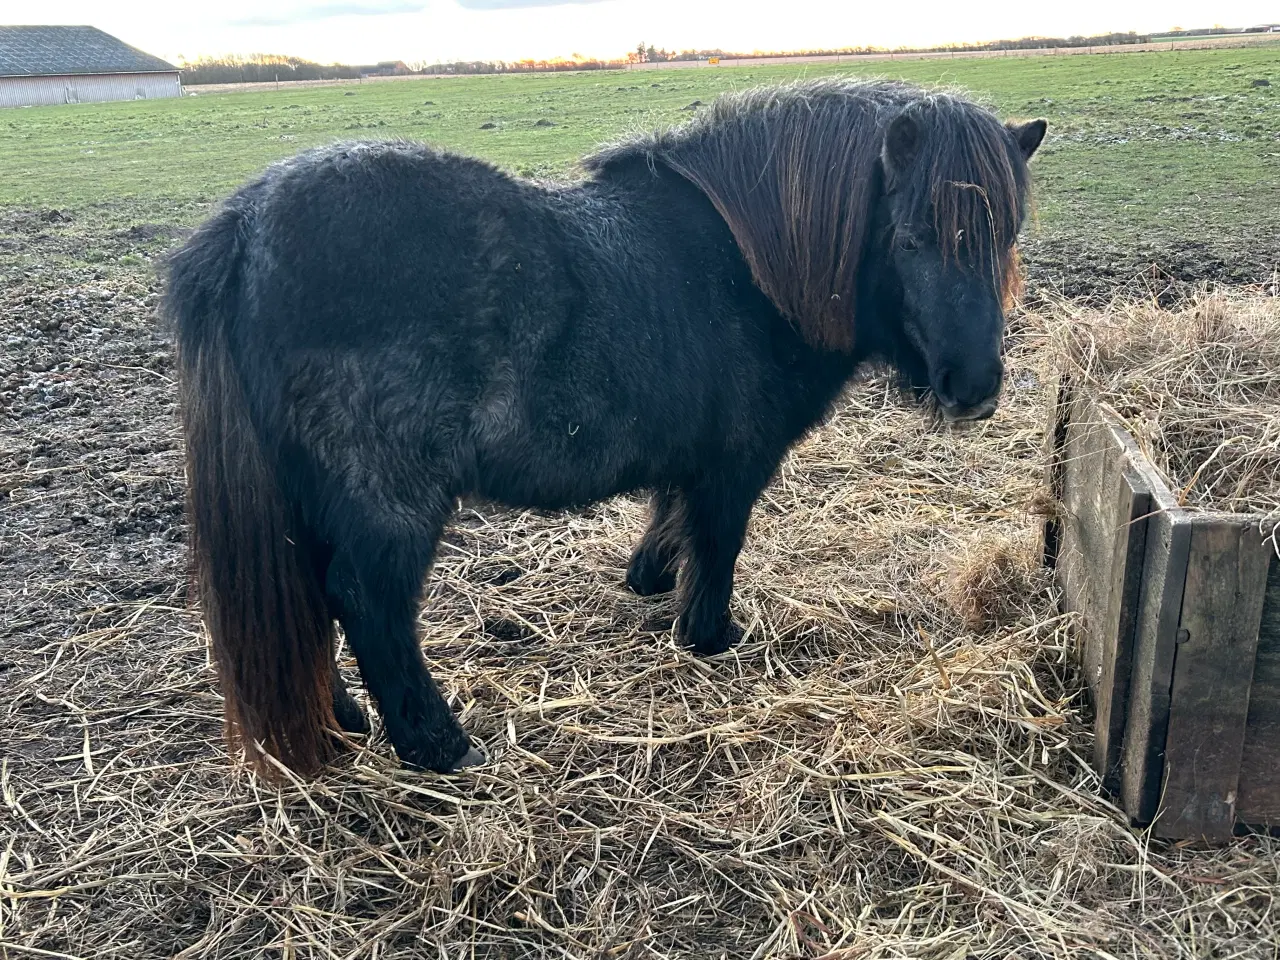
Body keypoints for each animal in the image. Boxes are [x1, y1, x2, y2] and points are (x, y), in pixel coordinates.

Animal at [165, 79, 1044, 778]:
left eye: (1005, 235)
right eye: (912, 237)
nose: (974, 388)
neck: (751, 271)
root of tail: (246, 225)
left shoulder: (689, 456)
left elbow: (669, 519)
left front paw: (650, 580)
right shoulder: (735, 462)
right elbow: (718, 542)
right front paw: (709, 634)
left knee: (313, 596)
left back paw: (342, 718)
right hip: (389, 502)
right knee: (365, 602)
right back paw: (437, 745)